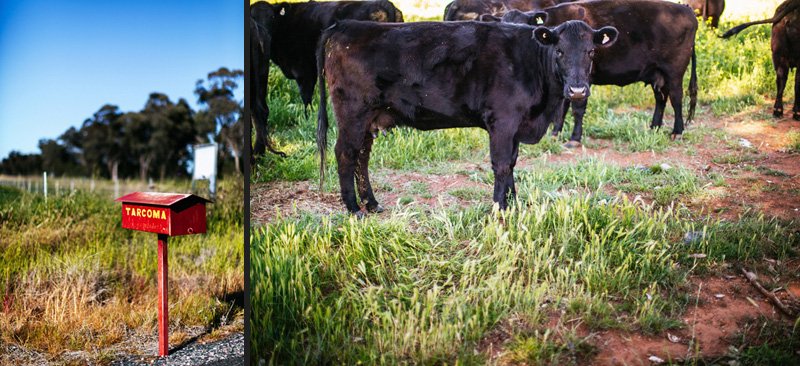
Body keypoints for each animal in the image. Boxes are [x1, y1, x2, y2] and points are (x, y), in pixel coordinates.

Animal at [318, 20, 620, 214]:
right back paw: (353, 208)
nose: (578, 90)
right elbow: (501, 165)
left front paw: (513, 204)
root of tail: (346, 24)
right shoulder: (503, 121)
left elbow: (512, 163)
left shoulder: (515, 126)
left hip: (370, 117)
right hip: (352, 112)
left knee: (362, 156)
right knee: (345, 153)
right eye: (559, 51)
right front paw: (499, 208)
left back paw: (372, 203)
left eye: (591, 51)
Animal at [496, 1, 696, 147]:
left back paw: (677, 132)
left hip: (674, 71)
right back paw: (653, 128)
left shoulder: (583, 81)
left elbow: (577, 108)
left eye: (591, 51)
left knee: (676, 98)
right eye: (559, 51)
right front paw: (555, 133)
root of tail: (686, 10)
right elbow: (563, 107)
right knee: (661, 98)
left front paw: (574, 139)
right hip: (657, 73)